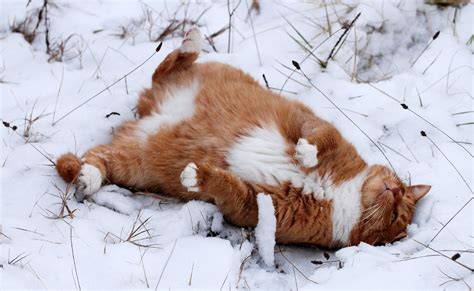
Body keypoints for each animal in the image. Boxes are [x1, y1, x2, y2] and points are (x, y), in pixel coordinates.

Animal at [55, 27, 430, 250]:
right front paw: (306, 154)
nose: (396, 191)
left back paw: (89, 176)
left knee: (99, 156)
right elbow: (321, 137)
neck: (336, 194)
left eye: (396, 216)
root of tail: (150, 112)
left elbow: (228, 187)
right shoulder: (311, 122)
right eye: (398, 186)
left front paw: (199, 175)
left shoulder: (254, 206)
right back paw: (191, 40)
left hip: (134, 163)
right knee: (167, 66)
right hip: (203, 76)